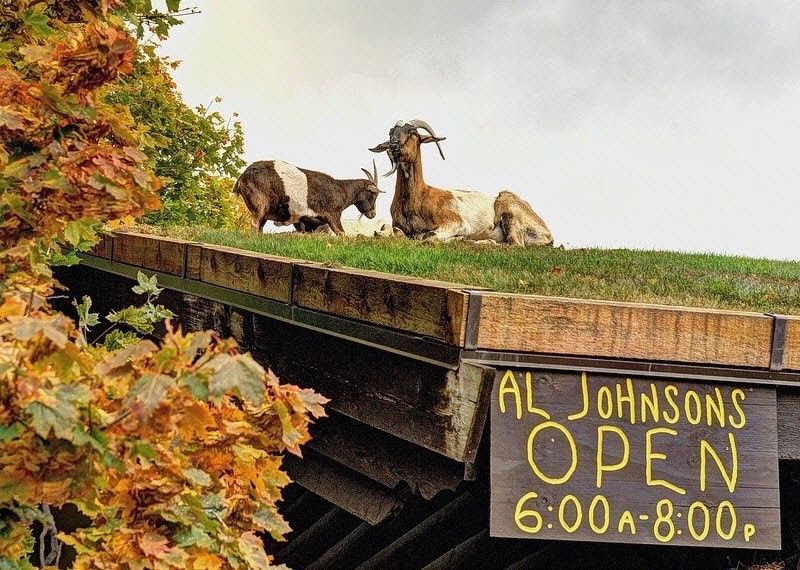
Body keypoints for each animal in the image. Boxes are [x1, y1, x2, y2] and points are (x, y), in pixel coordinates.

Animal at [233, 158, 382, 233]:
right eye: (374, 194)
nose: (373, 214)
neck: (342, 190)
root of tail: (242, 177)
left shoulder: (310, 224)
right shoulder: (332, 215)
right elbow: (342, 233)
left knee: (260, 227)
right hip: (259, 203)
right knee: (255, 223)